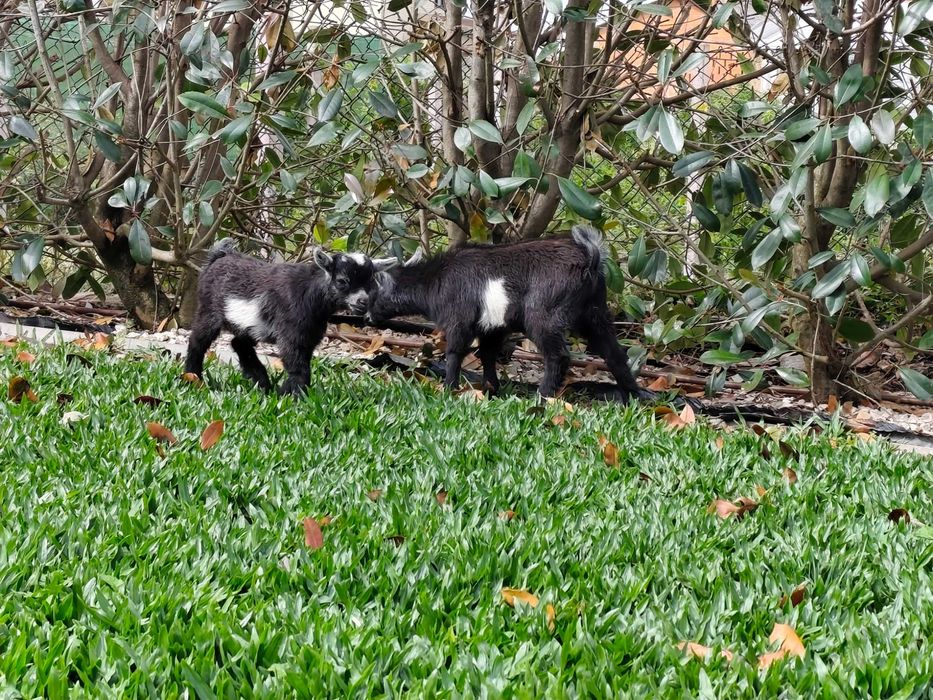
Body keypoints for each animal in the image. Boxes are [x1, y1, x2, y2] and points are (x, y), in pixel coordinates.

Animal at [185, 239, 395, 396]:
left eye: (371, 282)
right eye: (342, 281)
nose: (363, 302)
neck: (310, 292)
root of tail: (220, 256)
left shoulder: (309, 337)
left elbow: (303, 367)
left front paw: (285, 392)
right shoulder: (291, 336)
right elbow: (298, 368)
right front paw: (293, 396)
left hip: (250, 326)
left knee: (239, 343)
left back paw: (261, 381)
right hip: (208, 311)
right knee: (198, 342)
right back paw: (193, 377)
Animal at [364, 225, 651, 402]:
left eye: (374, 294)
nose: (367, 317)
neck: (435, 279)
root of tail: (590, 259)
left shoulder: (459, 319)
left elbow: (455, 352)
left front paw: (448, 387)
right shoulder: (492, 326)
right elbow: (487, 354)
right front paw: (491, 388)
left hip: (543, 316)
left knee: (558, 355)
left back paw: (542, 396)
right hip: (594, 314)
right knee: (614, 354)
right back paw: (635, 395)